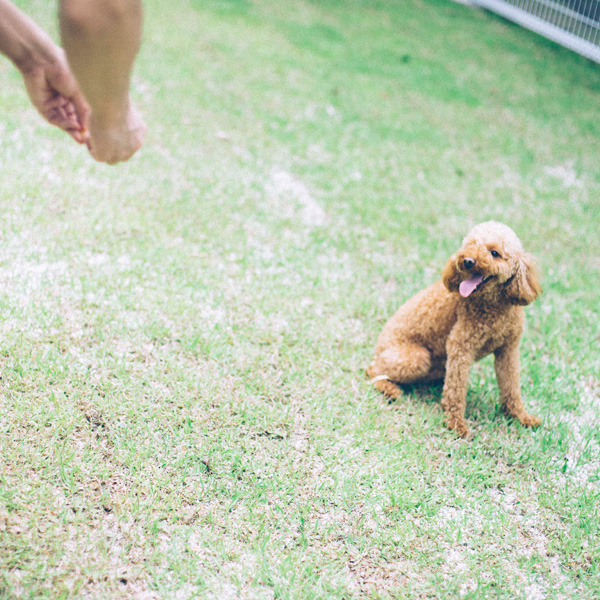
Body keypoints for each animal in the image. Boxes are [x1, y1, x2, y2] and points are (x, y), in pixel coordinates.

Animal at [368, 220, 540, 436]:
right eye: (469, 245)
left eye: (494, 253)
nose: (467, 261)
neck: (494, 306)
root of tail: (377, 347)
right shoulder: (461, 347)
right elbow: (456, 390)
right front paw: (456, 424)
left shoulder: (508, 350)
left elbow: (511, 387)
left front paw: (520, 417)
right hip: (417, 358)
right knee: (373, 369)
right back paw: (391, 389)